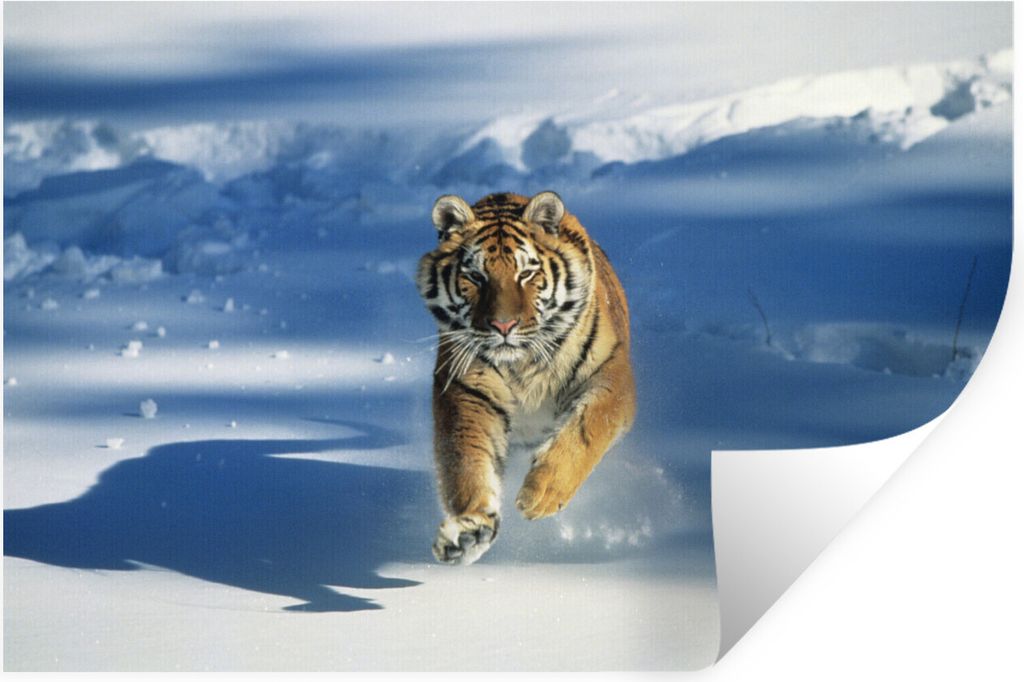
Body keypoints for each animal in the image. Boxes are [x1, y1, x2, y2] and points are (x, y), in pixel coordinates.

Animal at [416, 191, 636, 565]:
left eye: (527, 273)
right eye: (476, 276)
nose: (503, 326)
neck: (522, 364)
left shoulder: (611, 376)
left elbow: (587, 428)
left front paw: (542, 493)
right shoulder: (467, 392)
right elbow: (467, 462)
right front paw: (469, 532)